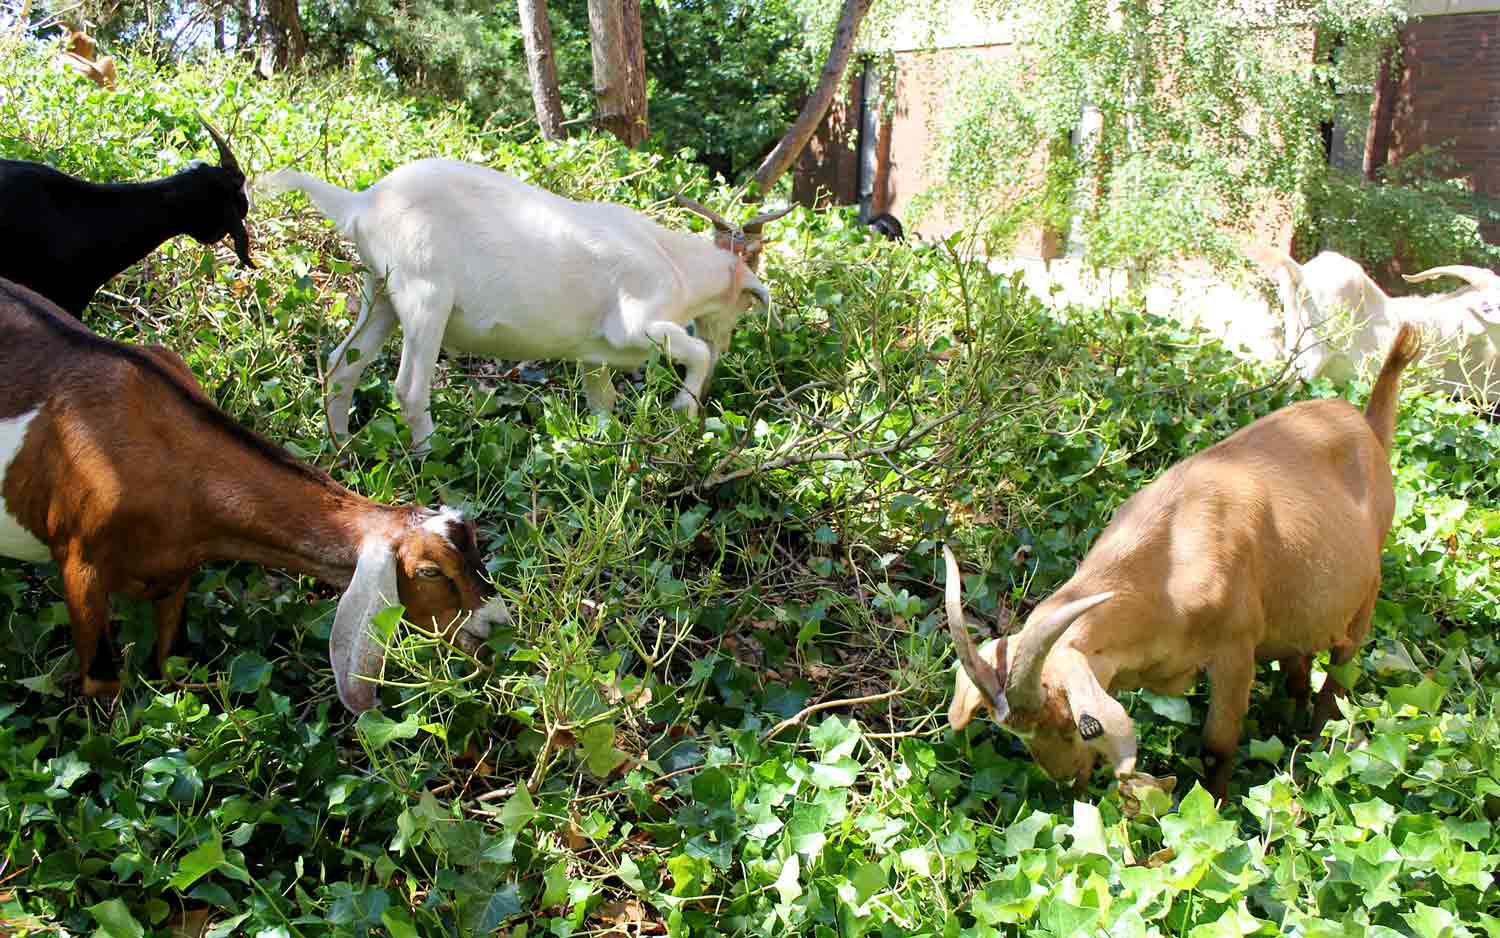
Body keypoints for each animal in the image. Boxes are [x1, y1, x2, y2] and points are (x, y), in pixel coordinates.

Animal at [0, 276, 510, 708]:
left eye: (476, 545)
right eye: (430, 572)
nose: (496, 625)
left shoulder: (176, 569)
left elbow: (172, 664)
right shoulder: (80, 562)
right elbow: (103, 683)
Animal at [942, 321, 1422, 798]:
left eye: (1080, 725)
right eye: (1016, 734)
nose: (1063, 778)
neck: (1167, 568)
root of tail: (1367, 426)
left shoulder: (1235, 651)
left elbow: (1216, 747)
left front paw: (1217, 805)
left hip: (1365, 597)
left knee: (1338, 679)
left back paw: (1318, 746)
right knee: (1298, 671)